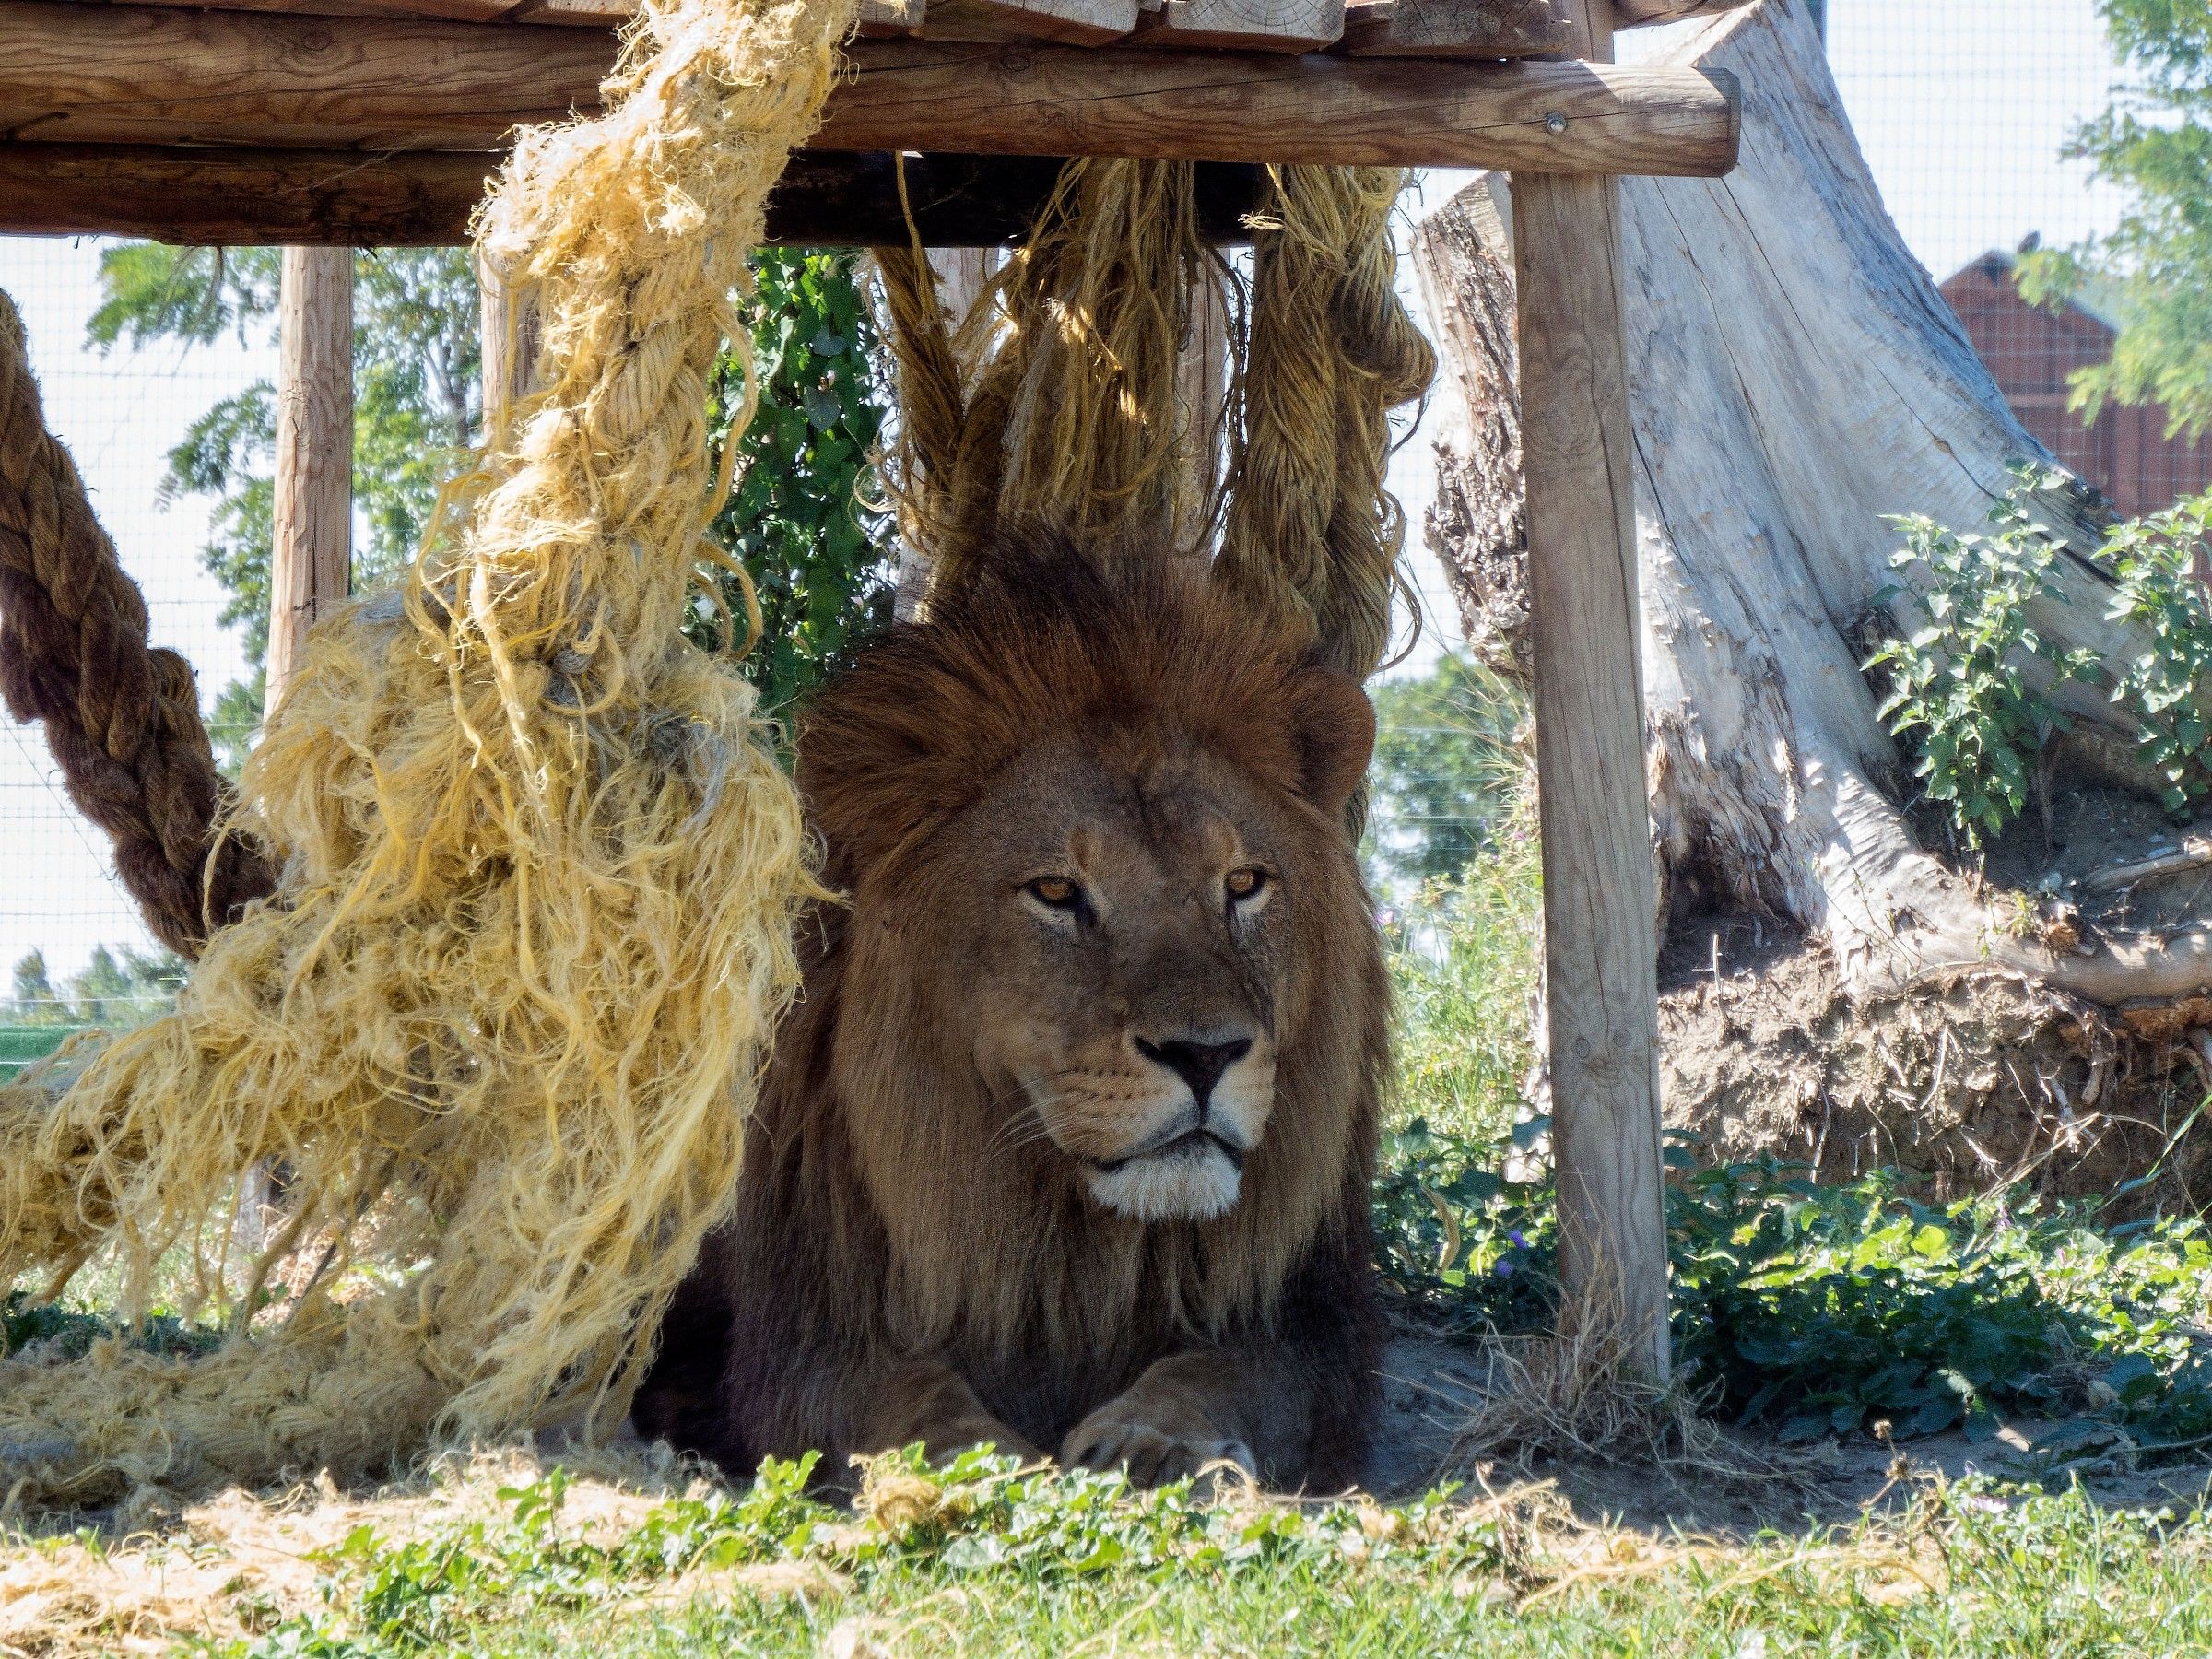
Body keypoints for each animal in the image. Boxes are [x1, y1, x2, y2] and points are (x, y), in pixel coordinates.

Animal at [631, 528, 1389, 1490]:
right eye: (1057, 892)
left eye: (1245, 883)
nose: (1206, 1056)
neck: (1070, 1243)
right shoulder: (809, 1337)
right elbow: (907, 1396)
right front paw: (976, 1461)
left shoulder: (1310, 1331)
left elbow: (1222, 1371)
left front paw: (1158, 1440)